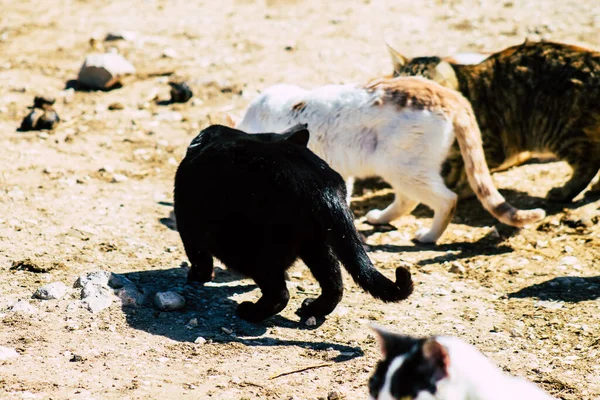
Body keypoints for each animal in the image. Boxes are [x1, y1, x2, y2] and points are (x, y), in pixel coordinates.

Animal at [173, 125, 412, 322]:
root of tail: (322, 186)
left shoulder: (188, 225)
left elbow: (199, 258)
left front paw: (197, 277)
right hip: (319, 244)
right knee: (334, 284)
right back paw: (312, 308)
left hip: (252, 251)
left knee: (280, 294)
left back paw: (250, 312)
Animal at [233, 75, 544, 244]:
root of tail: (448, 93)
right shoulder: (338, 172)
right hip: (400, 166)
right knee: (408, 200)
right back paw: (381, 218)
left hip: (399, 166)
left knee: (446, 199)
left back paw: (430, 236)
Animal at [386, 40, 600, 202]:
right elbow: (456, 166)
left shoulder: (489, 148)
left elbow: (472, 173)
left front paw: (463, 189)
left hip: (560, 131)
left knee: (589, 163)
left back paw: (564, 192)